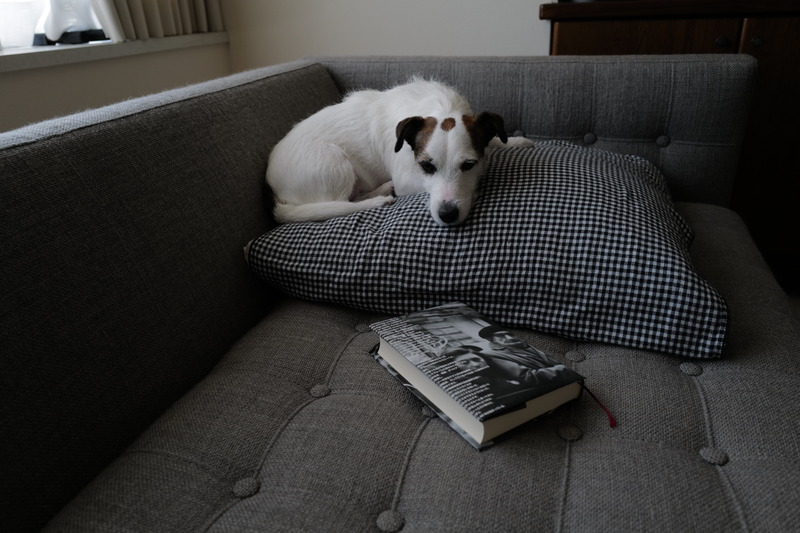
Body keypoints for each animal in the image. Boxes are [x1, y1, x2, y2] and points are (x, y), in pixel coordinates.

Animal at [266, 78, 533, 226]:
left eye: (469, 165)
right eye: (426, 166)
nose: (447, 214)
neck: (441, 106)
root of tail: (275, 189)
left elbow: (494, 140)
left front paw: (515, 140)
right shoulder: (406, 179)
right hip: (335, 164)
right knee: (342, 203)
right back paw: (379, 195)